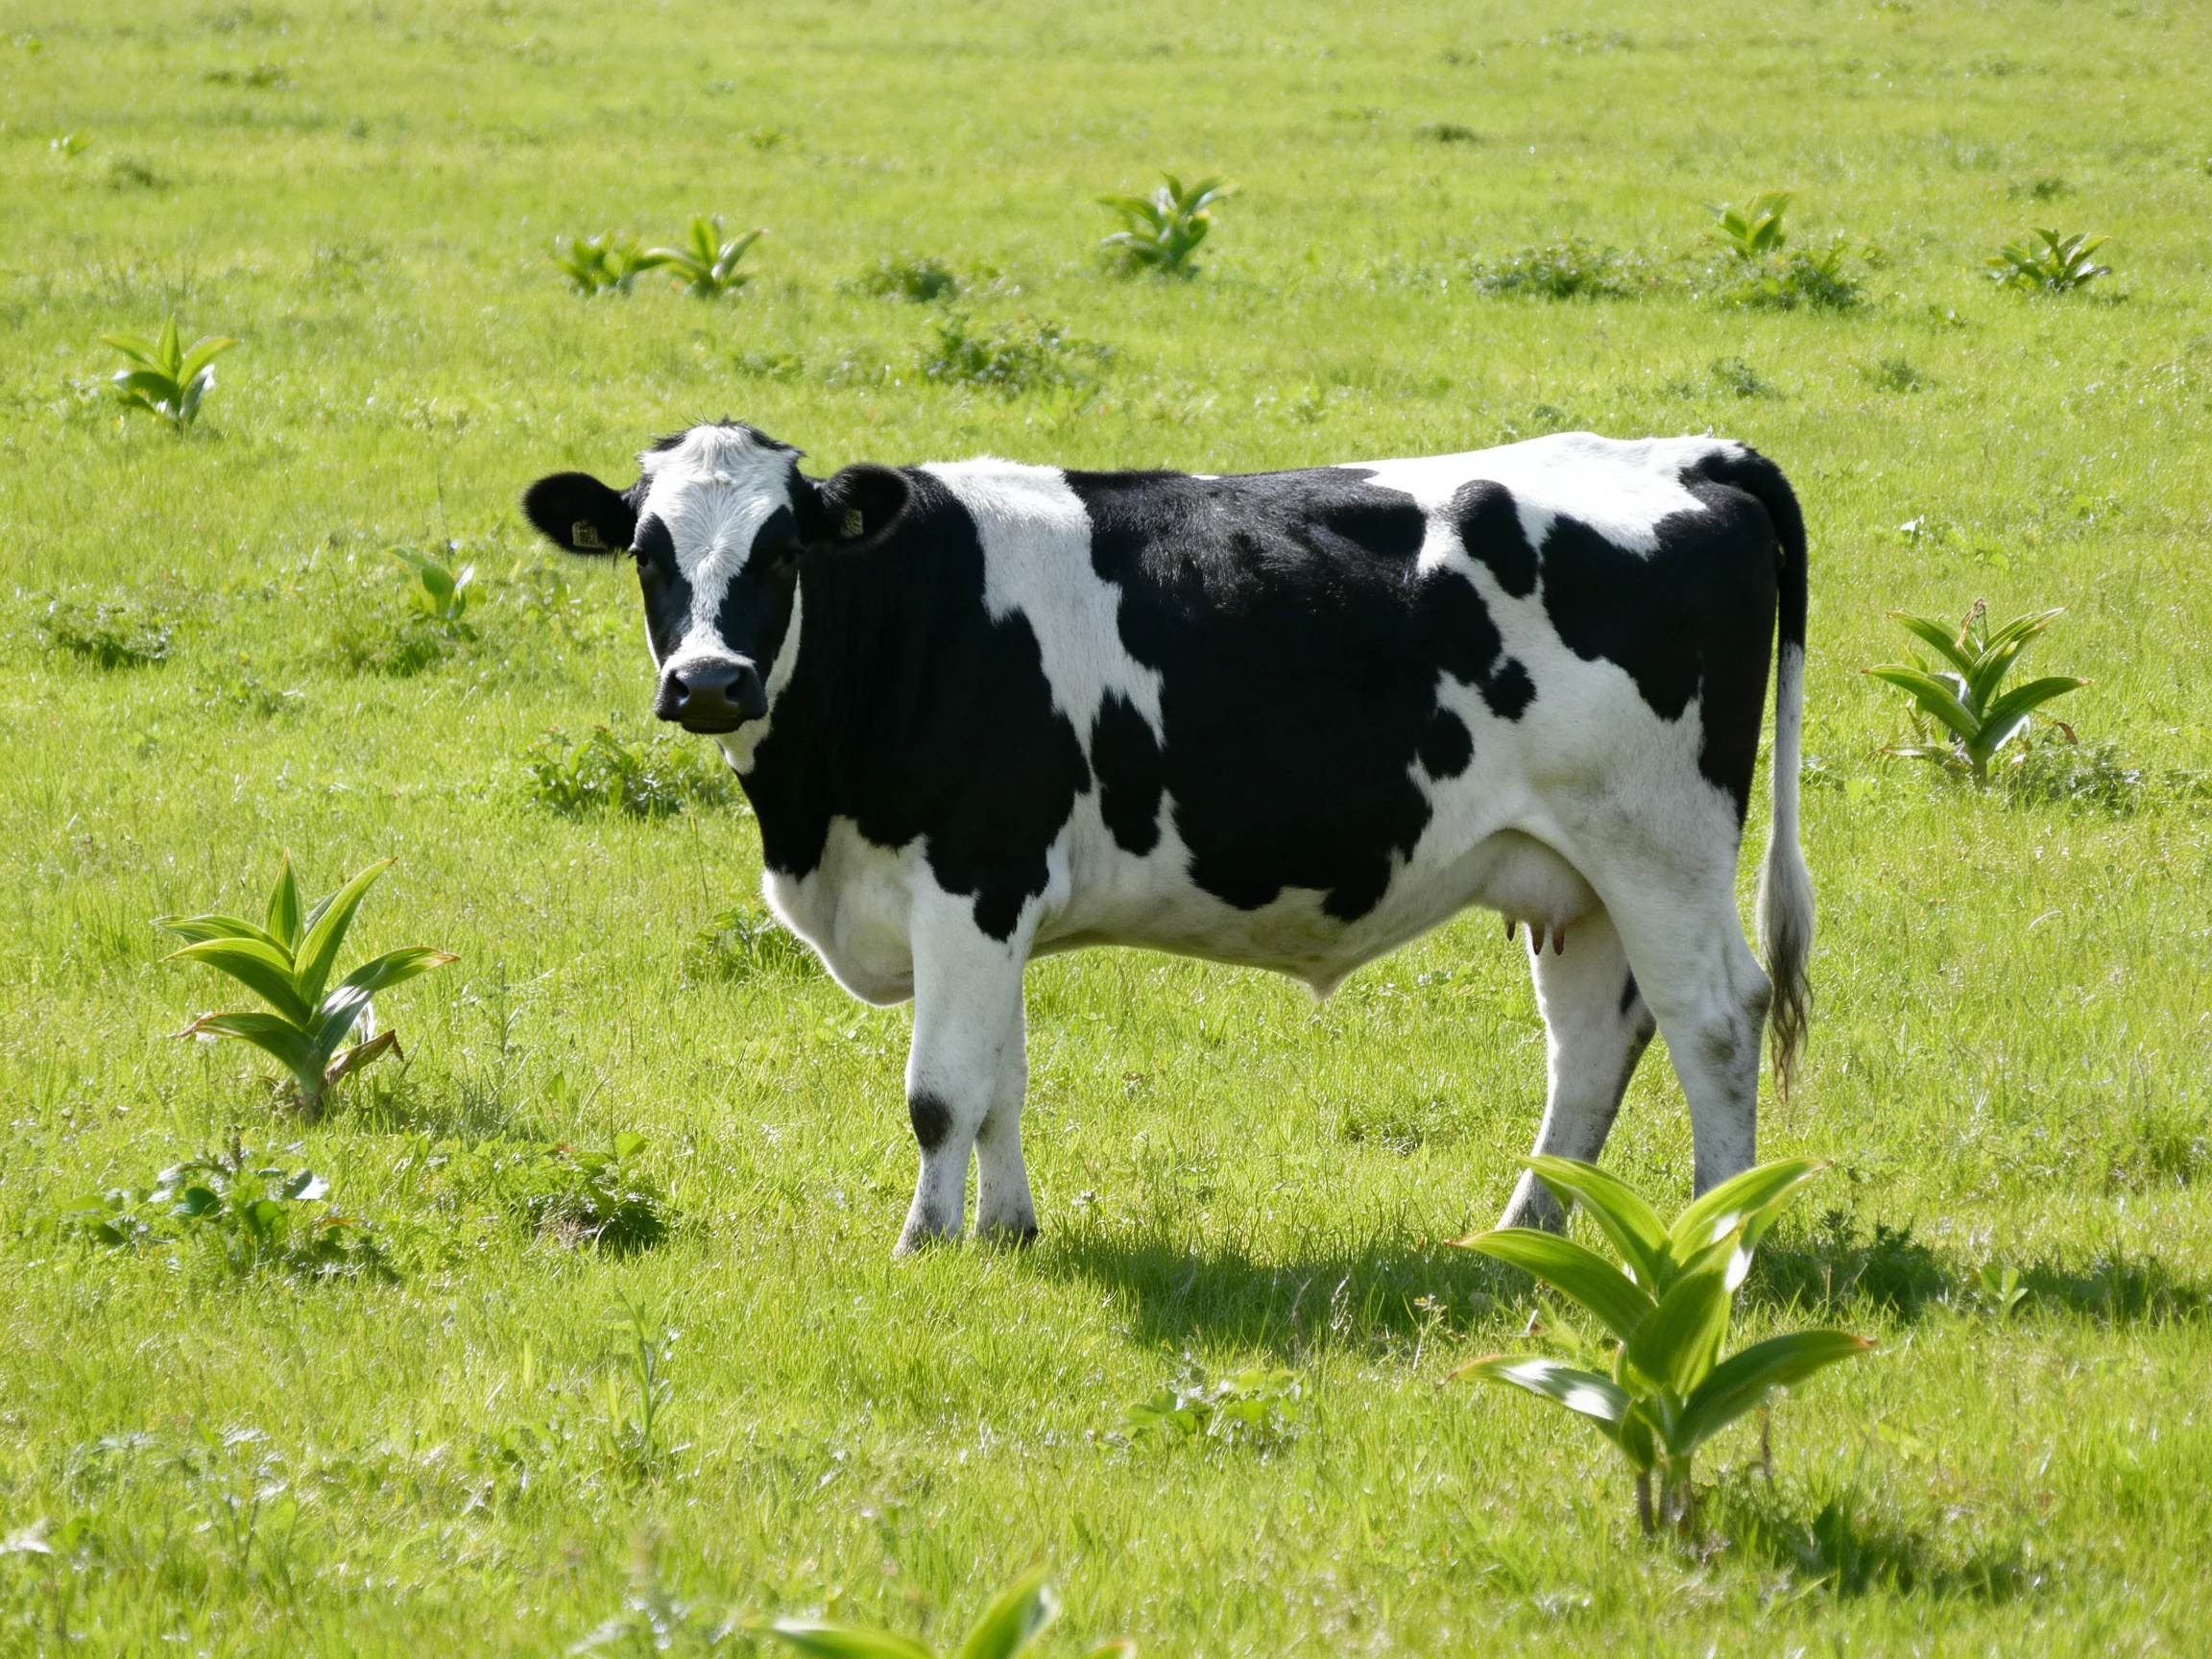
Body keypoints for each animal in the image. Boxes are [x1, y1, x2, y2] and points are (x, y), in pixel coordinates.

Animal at [522, 422, 1813, 1253]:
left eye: (784, 550)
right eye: (647, 553)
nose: (709, 682)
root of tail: (1680, 453)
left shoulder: (972, 880)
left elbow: (941, 1092)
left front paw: (922, 1246)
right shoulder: (997, 904)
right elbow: (1002, 1083)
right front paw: (1009, 1234)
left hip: (1662, 849)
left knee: (1714, 1020)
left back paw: (1719, 1239)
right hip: (1574, 877)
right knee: (1593, 1042)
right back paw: (1522, 1233)